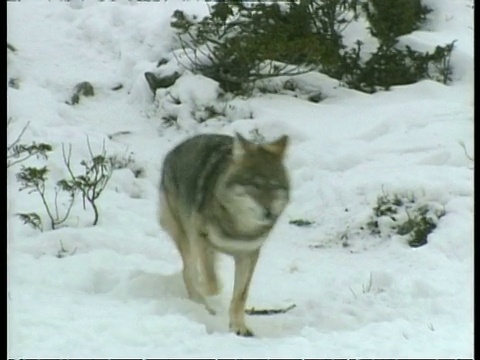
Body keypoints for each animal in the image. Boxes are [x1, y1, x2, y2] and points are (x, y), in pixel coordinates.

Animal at [159, 132, 290, 338]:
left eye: (274, 186)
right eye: (255, 185)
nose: (269, 213)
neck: (240, 228)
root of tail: (174, 150)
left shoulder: (249, 254)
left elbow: (240, 296)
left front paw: (239, 327)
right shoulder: (201, 239)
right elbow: (212, 283)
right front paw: (208, 290)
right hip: (187, 238)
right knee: (188, 271)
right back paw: (201, 304)